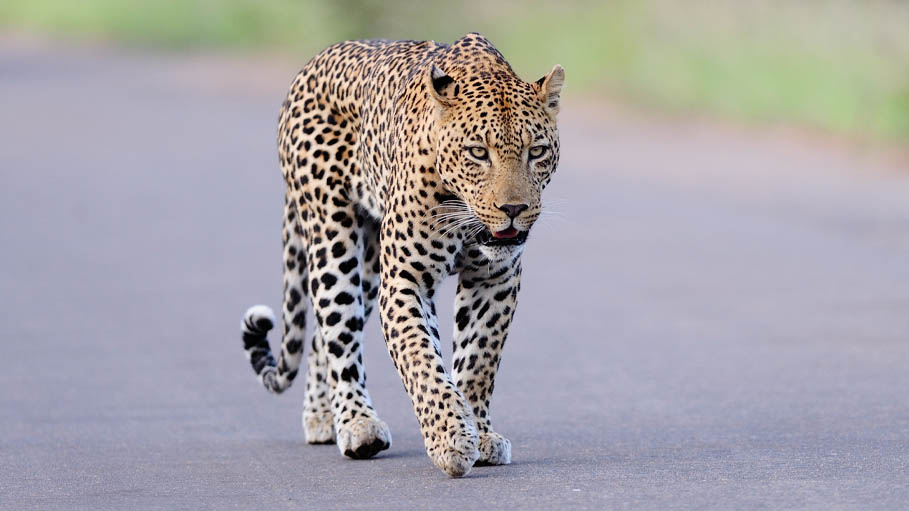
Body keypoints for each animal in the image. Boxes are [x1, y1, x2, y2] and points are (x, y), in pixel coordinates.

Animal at [239, 32, 563, 477]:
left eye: (538, 151)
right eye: (478, 152)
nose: (513, 208)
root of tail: (312, 65)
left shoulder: (494, 280)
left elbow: (479, 358)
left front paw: (479, 434)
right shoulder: (405, 281)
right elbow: (421, 360)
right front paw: (450, 439)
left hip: (370, 262)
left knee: (323, 333)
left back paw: (323, 418)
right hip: (332, 236)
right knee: (337, 327)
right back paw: (357, 425)